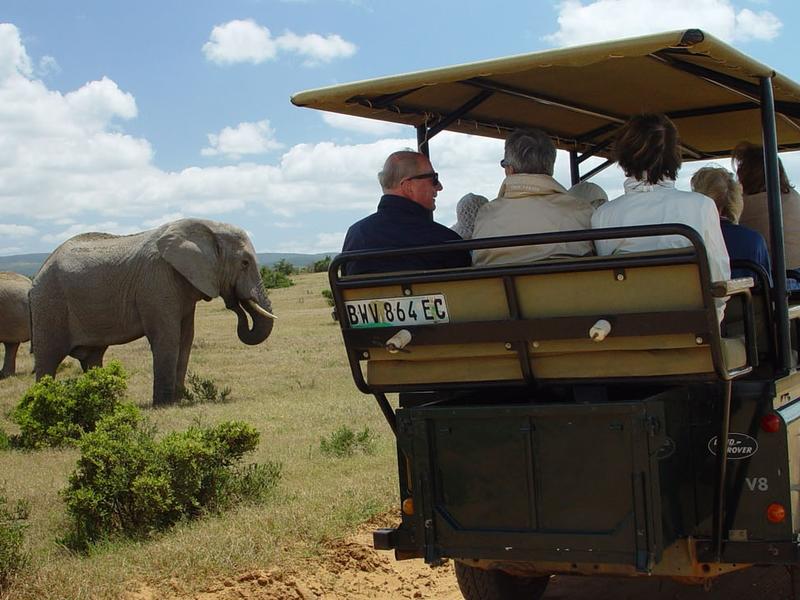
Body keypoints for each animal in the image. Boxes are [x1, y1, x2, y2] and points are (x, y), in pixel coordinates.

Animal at [30, 218, 276, 405]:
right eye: (245, 263)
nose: (234, 303)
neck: (208, 227)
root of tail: (39, 272)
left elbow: (186, 338)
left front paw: (178, 400)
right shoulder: (157, 282)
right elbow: (168, 337)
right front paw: (164, 404)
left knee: (92, 358)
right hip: (49, 304)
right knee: (48, 358)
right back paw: (44, 402)